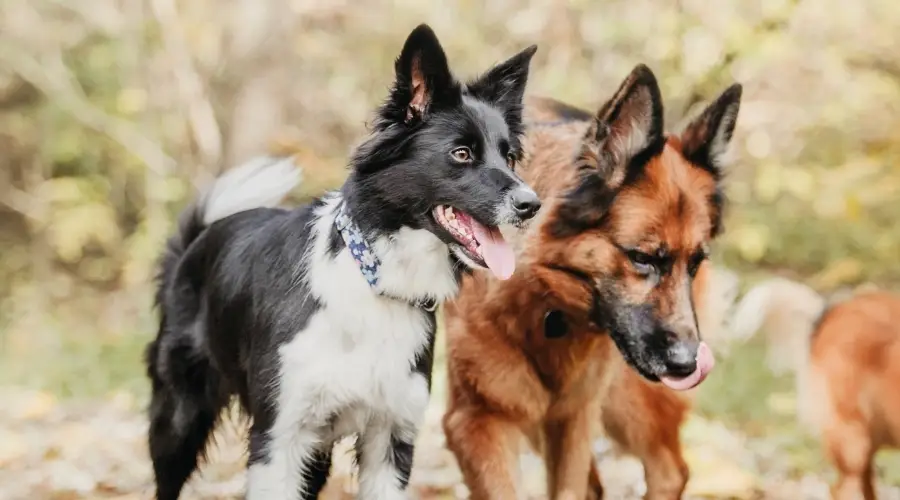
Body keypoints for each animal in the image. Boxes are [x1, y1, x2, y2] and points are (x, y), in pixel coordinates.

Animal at [147, 24, 536, 500]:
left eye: (510, 157)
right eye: (461, 154)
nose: (531, 204)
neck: (375, 278)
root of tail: (197, 240)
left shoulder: (390, 438)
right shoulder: (279, 439)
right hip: (179, 419)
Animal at [440, 64, 740, 498]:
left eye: (695, 262)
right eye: (641, 258)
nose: (689, 365)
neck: (546, 305)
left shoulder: (574, 418)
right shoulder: (479, 421)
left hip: (627, 397)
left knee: (669, 469)